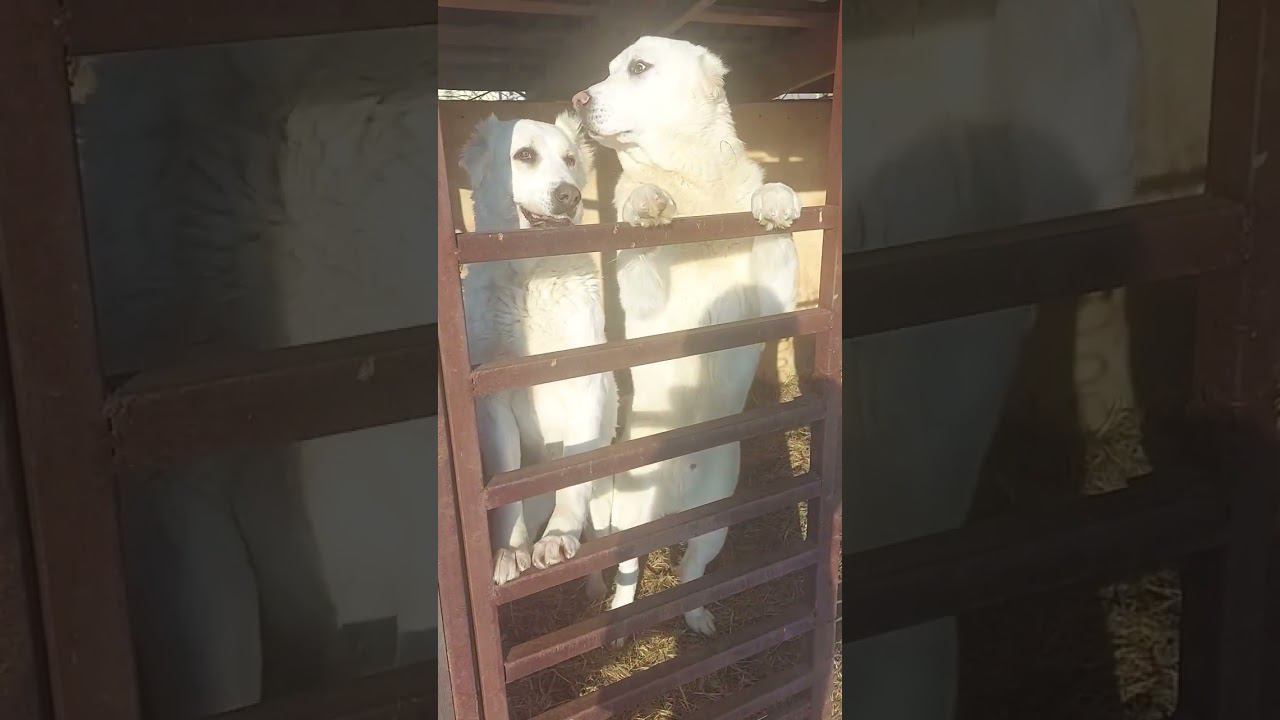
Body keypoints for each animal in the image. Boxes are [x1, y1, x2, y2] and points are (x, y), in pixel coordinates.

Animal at [458, 112, 617, 595]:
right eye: (524, 154)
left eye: (570, 159)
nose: (570, 195)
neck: (531, 279)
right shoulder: (493, 402)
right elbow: (506, 486)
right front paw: (512, 549)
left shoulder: (584, 382)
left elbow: (573, 479)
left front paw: (558, 535)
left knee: (597, 532)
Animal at [571, 36, 802, 637]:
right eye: (607, 69)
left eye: (638, 67)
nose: (578, 99)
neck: (693, 182)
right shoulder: (647, 289)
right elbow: (643, 216)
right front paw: (646, 201)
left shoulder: (773, 299)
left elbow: (773, 217)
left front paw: (776, 199)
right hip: (624, 517)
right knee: (627, 572)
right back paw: (619, 613)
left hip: (715, 525)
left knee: (690, 572)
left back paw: (697, 616)